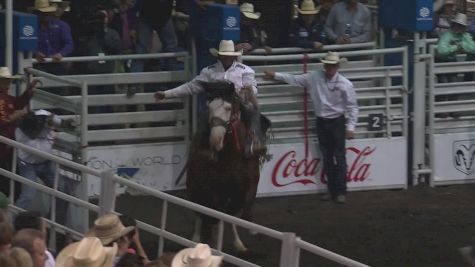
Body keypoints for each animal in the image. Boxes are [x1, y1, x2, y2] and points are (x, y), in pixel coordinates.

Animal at [187, 82, 262, 252]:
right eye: (210, 107)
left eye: (228, 108)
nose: (215, 140)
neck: (232, 157)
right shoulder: (215, 189)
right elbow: (214, 213)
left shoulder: (250, 185)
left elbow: (239, 209)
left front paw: (249, 230)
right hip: (193, 186)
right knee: (198, 210)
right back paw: (197, 237)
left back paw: (237, 242)